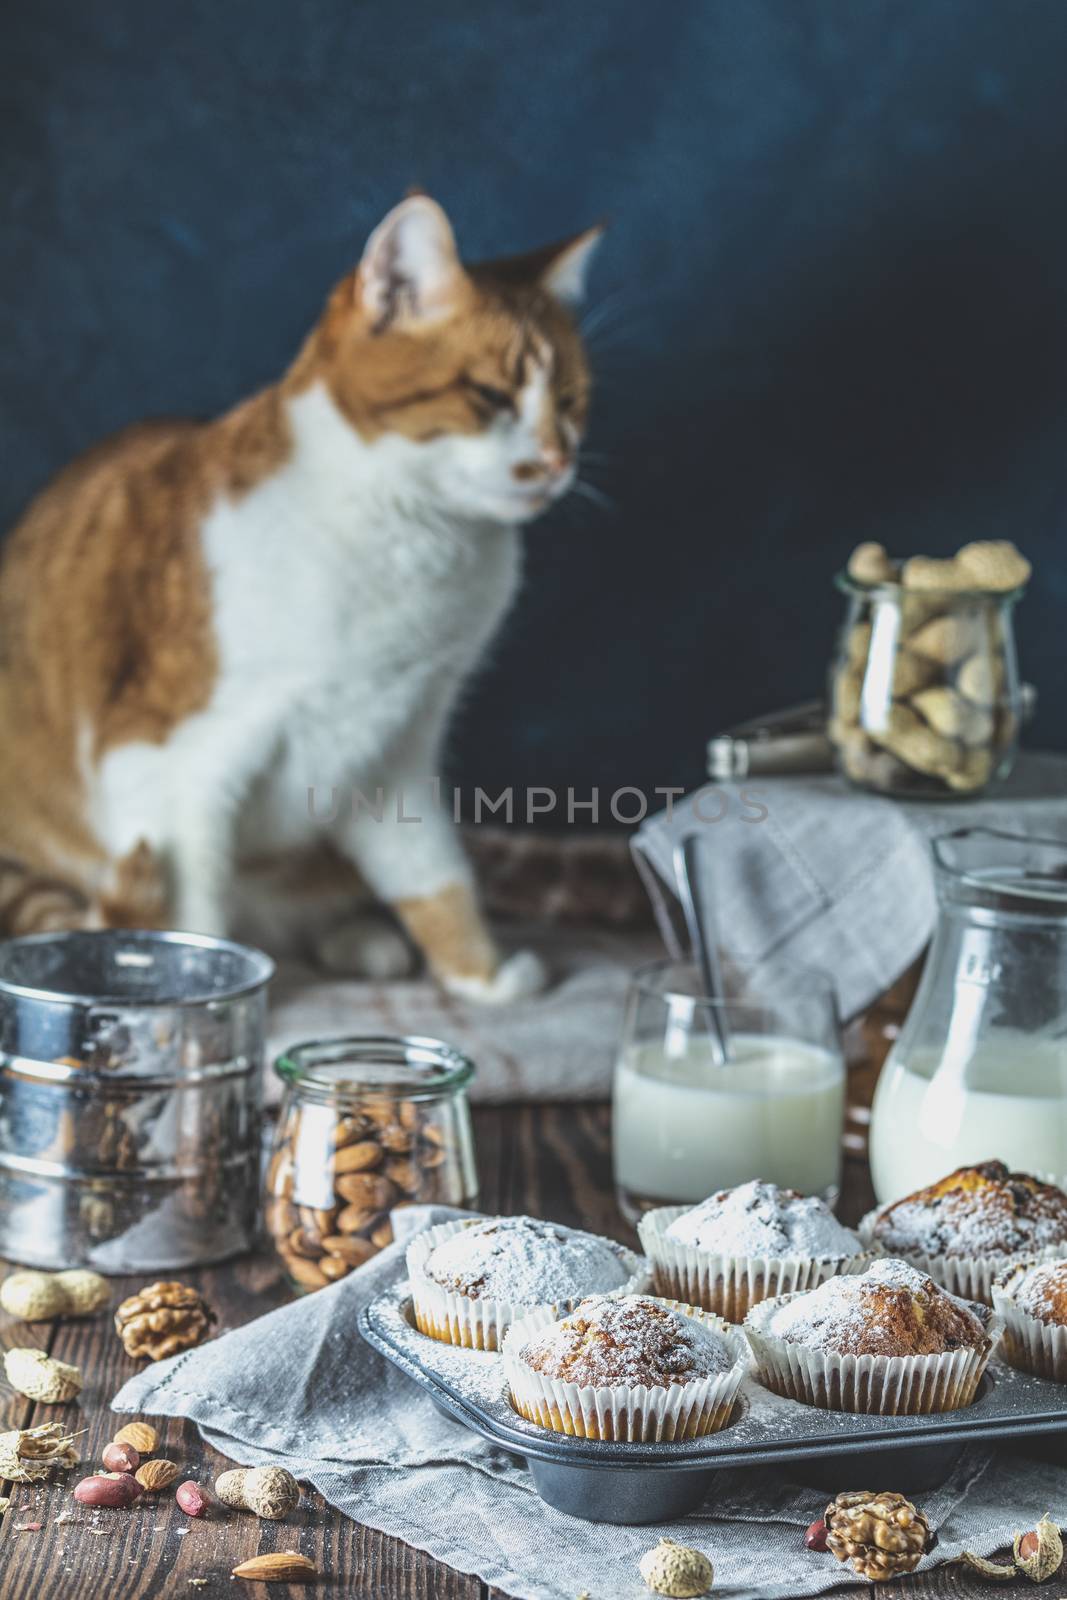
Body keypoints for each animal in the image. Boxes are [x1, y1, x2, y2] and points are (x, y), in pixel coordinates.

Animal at [0, 196, 601, 998]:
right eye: (490, 396)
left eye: (571, 401)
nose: (558, 460)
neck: (412, 544)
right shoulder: (166, 757)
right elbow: (191, 916)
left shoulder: (395, 747)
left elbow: (435, 876)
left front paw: (482, 977)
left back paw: (363, 941)